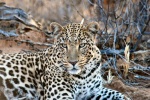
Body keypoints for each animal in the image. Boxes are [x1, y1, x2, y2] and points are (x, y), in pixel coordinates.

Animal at [0, 21, 129, 99]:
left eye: (82, 45)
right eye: (64, 46)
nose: (73, 62)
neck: (83, 75)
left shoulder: (95, 91)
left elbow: (116, 93)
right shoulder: (59, 96)